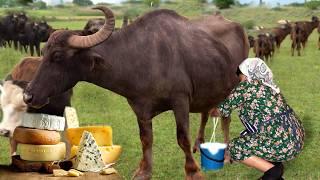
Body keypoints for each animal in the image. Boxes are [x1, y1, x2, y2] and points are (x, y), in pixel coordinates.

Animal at [23, 6, 250, 179]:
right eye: (43, 52)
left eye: (57, 56)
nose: (28, 96)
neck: (142, 57)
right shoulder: (139, 106)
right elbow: (146, 139)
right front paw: (144, 171)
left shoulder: (180, 100)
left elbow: (182, 138)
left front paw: (193, 171)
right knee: (206, 113)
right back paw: (201, 144)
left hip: (233, 89)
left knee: (225, 119)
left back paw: (226, 154)